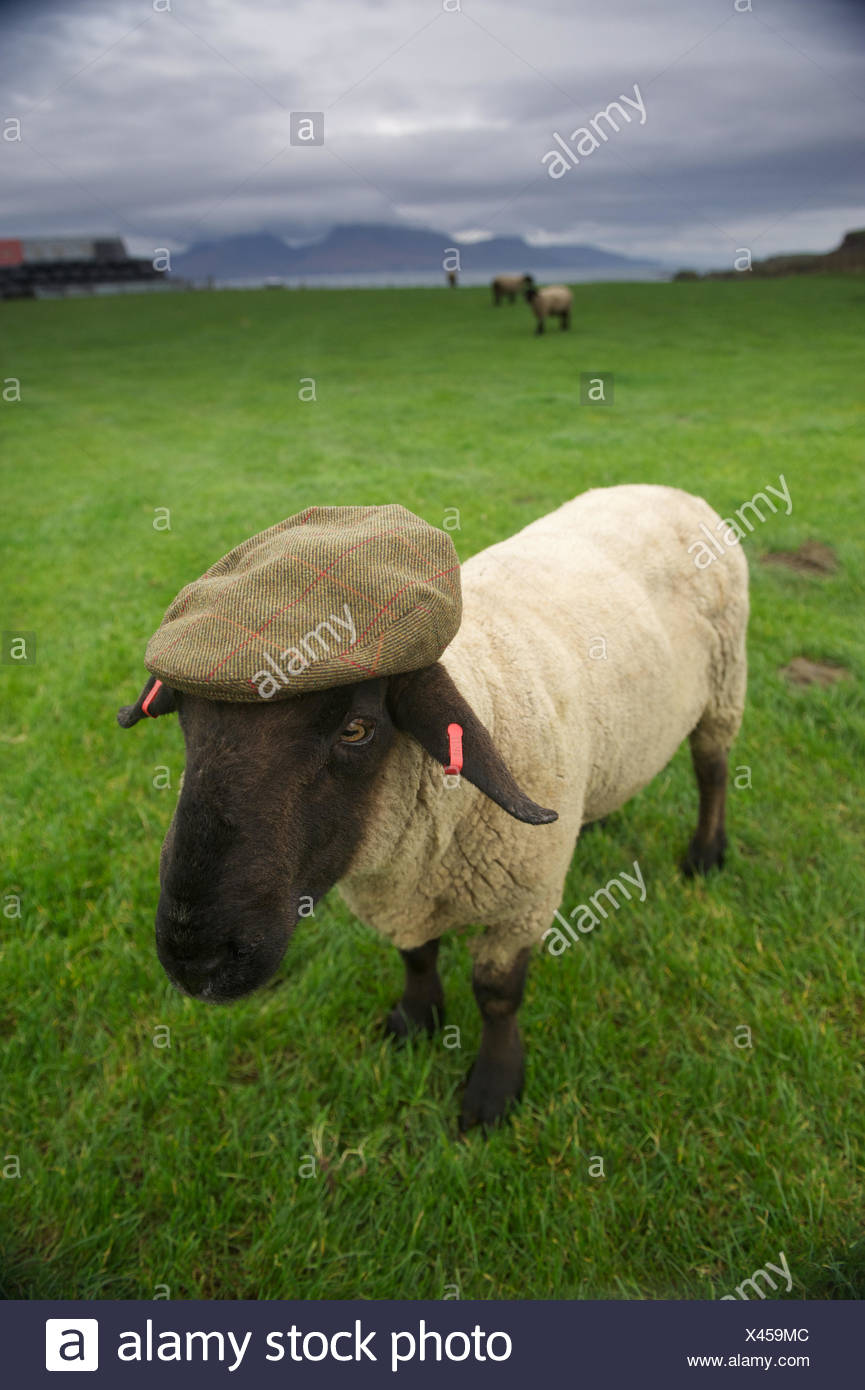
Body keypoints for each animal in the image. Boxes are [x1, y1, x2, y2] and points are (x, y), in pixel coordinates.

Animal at [118, 485, 748, 1132]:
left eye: (356, 729)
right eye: (187, 721)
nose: (195, 960)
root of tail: (664, 489)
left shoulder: (520, 905)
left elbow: (497, 996)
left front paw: (493, 1091)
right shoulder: (406, 893)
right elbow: (416, 956)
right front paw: (415, 1022)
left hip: (726, 686)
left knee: (713, 770)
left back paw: (706, 854)